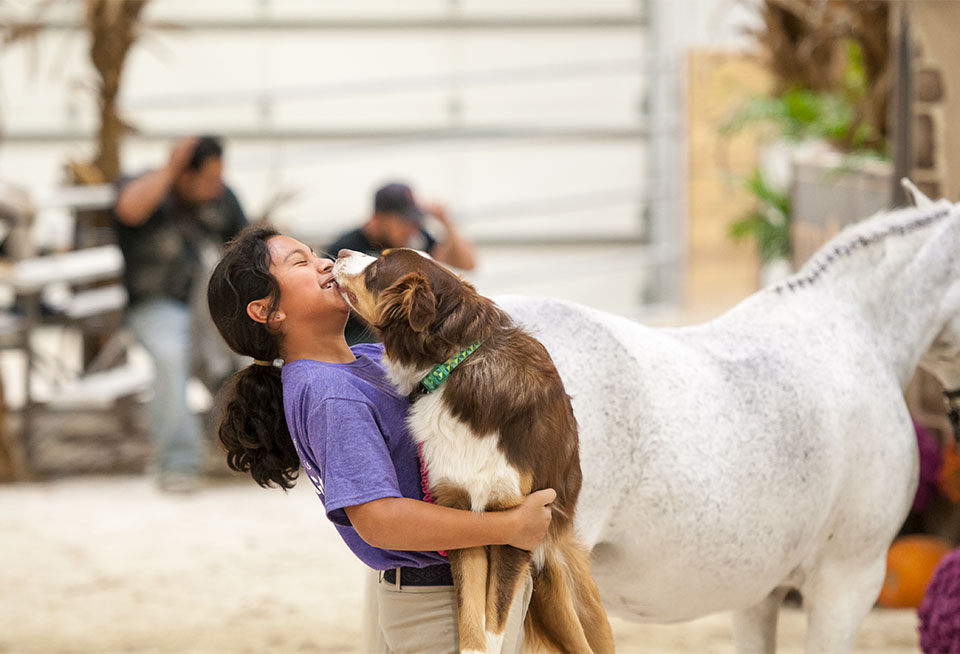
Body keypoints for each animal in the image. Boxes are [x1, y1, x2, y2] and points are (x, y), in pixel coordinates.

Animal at [332, 249, 616, 652]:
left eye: (378, 266)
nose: (341, 253)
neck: (454, 366)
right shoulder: (461, 514)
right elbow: (471, 621)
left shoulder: (516, 520)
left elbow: (494, 621)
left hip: (572, 592)